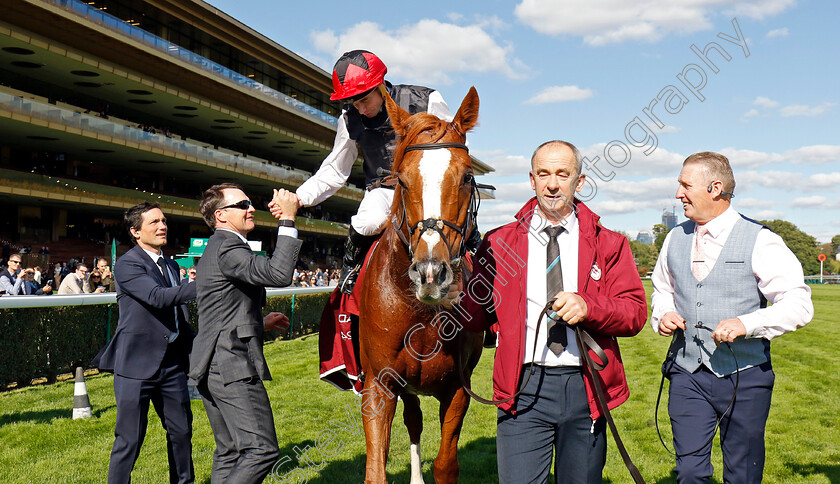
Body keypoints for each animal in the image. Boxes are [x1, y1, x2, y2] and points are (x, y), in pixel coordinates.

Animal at [360, 88, 486, 484]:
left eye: (467, 177)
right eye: (401, 180)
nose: (431, 274)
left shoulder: (459, 385)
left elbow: (446, 464)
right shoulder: (379, 384)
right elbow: (376, 470)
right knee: (413, 421)